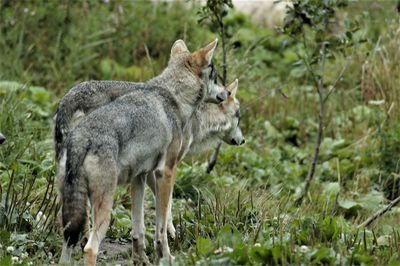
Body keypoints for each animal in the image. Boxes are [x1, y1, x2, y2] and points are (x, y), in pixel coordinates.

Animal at [59, 38, 220, 264]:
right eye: (216, 77)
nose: (227, 93)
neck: (173, 95)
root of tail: (82, 138)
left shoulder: (139, 176)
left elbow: (139, 229)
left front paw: (141, 259)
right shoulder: (165, 172)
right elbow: (162, 224)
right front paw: (166, 256)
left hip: (72, 206)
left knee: (69, 239)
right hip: (104, 205)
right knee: (90, 247)